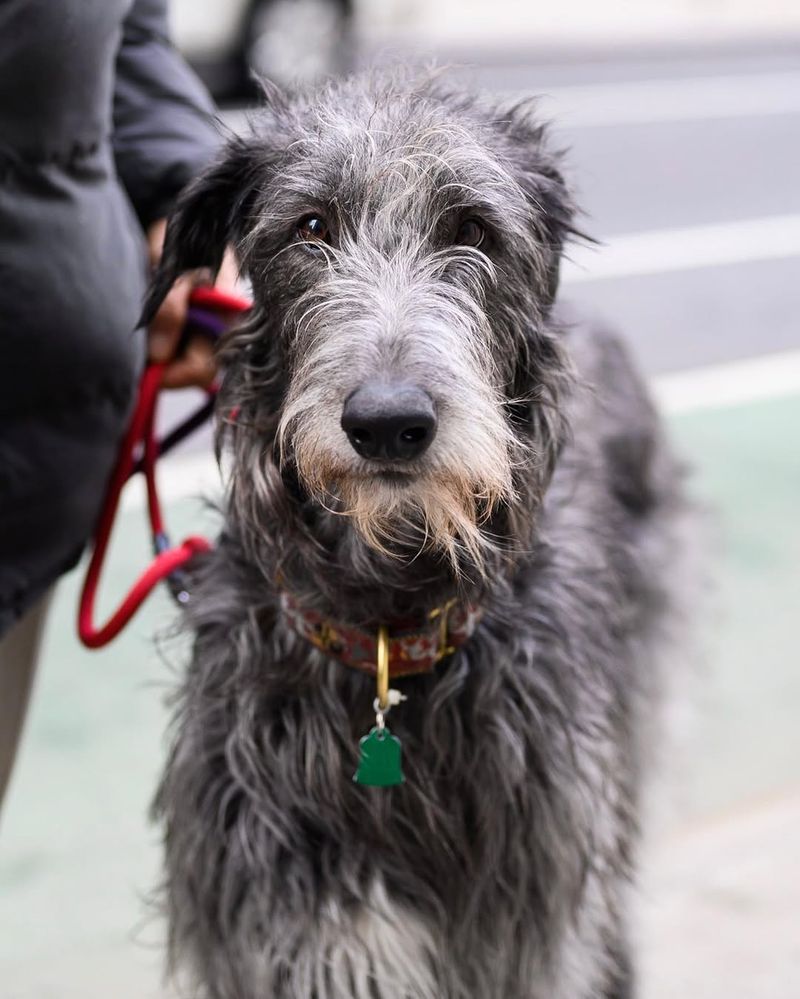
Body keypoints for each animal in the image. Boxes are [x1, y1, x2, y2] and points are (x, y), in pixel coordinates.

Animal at [144, 70, 692, 999]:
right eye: (311, 227)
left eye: (472, 229)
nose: (388, 423)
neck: (385, 629)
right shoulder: (295, 923)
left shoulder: (537, 915)